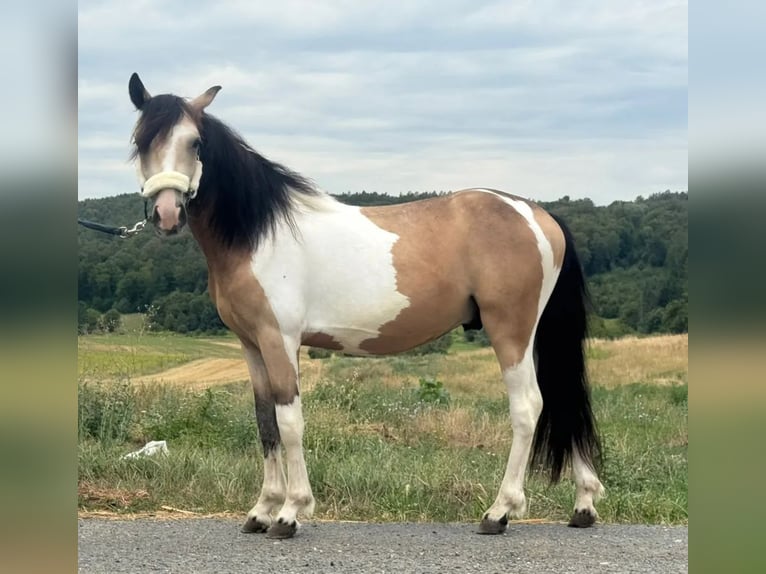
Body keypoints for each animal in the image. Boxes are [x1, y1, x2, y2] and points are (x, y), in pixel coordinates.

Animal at [126, 73, 604, 539]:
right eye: (140, 141)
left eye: (195, 142)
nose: (167, 214)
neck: (260, 235)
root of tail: (537, 215)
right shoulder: (251, 345)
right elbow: (265, 423)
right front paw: (261, 510)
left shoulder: (280, 340)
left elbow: (290, 421)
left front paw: (290, 513)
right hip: (535, 335)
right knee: (562, 401)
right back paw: (583, 505)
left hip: (512, 331)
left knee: (528, 407)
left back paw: (499, 511)